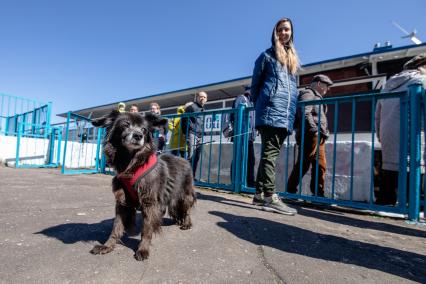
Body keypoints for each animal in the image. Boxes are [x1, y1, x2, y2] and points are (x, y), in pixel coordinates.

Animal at [91, 110, 196, 260]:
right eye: (125, 125)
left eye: (144, 130)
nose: (138, 136)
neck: (131, 164)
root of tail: (185, 159)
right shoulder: (122, 201)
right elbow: (116, 226)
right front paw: (107, 246)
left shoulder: (149, 200)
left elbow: (146, 228)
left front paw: (143, 249)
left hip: (183, 195)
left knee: (186, 210)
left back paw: (186, 223)